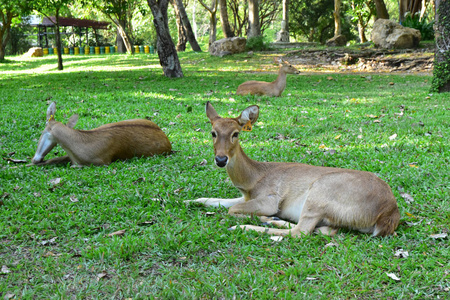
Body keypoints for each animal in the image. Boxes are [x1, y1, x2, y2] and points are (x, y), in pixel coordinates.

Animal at [186, 102, 400, 238]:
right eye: (213, 132)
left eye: (235, 134)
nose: (221, 159)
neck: (252, 181)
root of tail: (388, 213)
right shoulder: (245, 197)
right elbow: (213, 200)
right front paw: (188, 200)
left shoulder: (269, 199)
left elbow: (231, 209)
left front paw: (261, 217)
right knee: (326, 231)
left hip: (320, 192)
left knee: (301, 232)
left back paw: (247, 226)